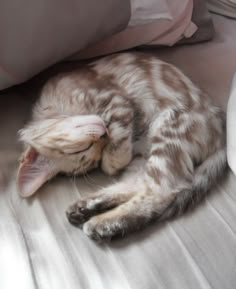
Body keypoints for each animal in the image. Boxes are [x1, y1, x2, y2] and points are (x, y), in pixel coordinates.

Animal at [17, 53, 227, 240]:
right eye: (85, 150)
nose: (103, 135)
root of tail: (221, 133)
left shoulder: (115, 101)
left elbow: (116, 151)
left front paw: (111, 158)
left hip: (170, 131)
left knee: (160, 192)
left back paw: (102, 222)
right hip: (152, 151)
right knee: (142, 185)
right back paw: (89, 208)